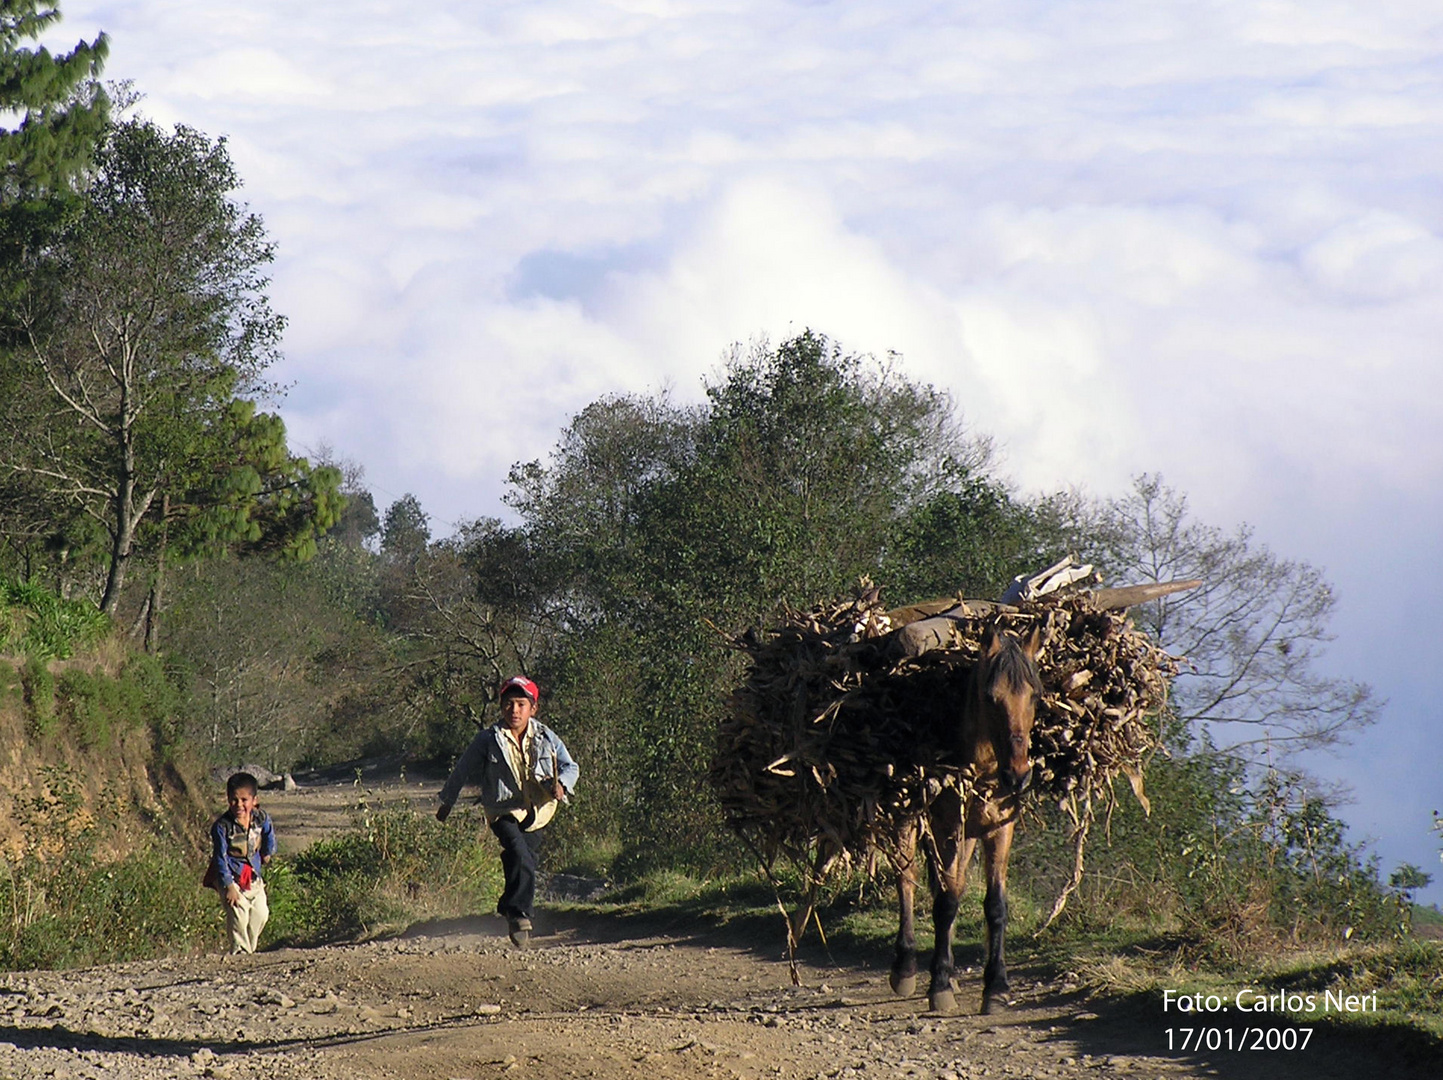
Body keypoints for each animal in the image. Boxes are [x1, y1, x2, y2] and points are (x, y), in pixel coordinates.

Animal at [883, 620, 1044, 1016]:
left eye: (1035, 696)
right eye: (990, 696)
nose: (1018, 776)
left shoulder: (1000, 827)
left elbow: (995, 905)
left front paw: (996, 987)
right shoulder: (946, 826)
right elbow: (946, 900)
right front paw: (939, 984)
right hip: (906, 819)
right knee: (906, 880)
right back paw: (906, 967)